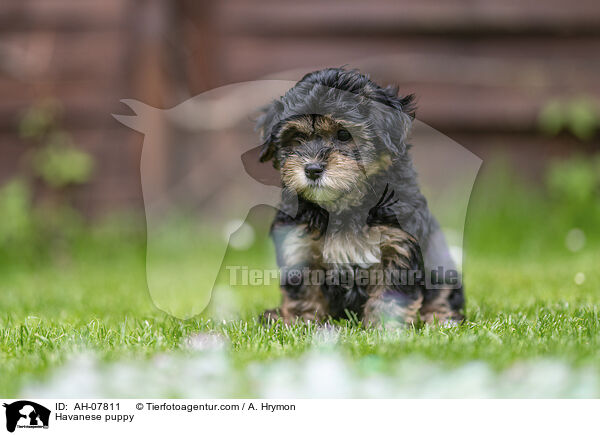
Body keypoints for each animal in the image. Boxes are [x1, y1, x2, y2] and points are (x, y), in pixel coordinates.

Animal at [255, 68, 462, 328]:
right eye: (297, 138)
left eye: (344, 134)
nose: (312, 169)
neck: (344, 207)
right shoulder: (297, 242)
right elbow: (303, 291)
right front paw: (300, 323)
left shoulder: (398, 244)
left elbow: (391, 293)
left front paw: (386, 327)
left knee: (442, 291)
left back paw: (441, 319)